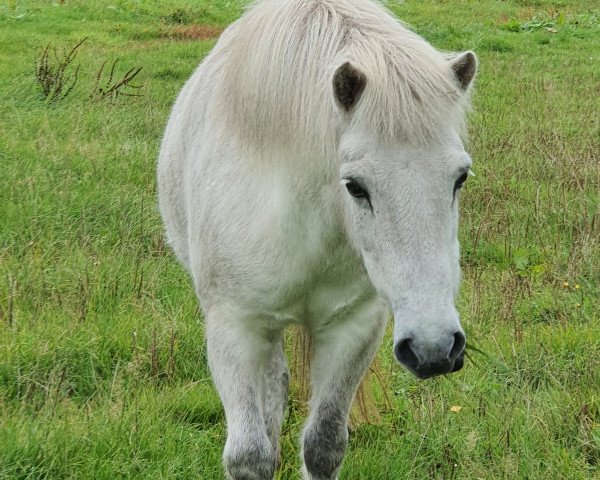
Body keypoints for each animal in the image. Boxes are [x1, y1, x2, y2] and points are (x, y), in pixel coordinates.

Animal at [159, 0, 478, 478]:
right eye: (355, 186)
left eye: (460, 177)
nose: (434, 347)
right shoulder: (235, 327)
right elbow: (249, 455)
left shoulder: (352, 327)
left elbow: (323, 445)